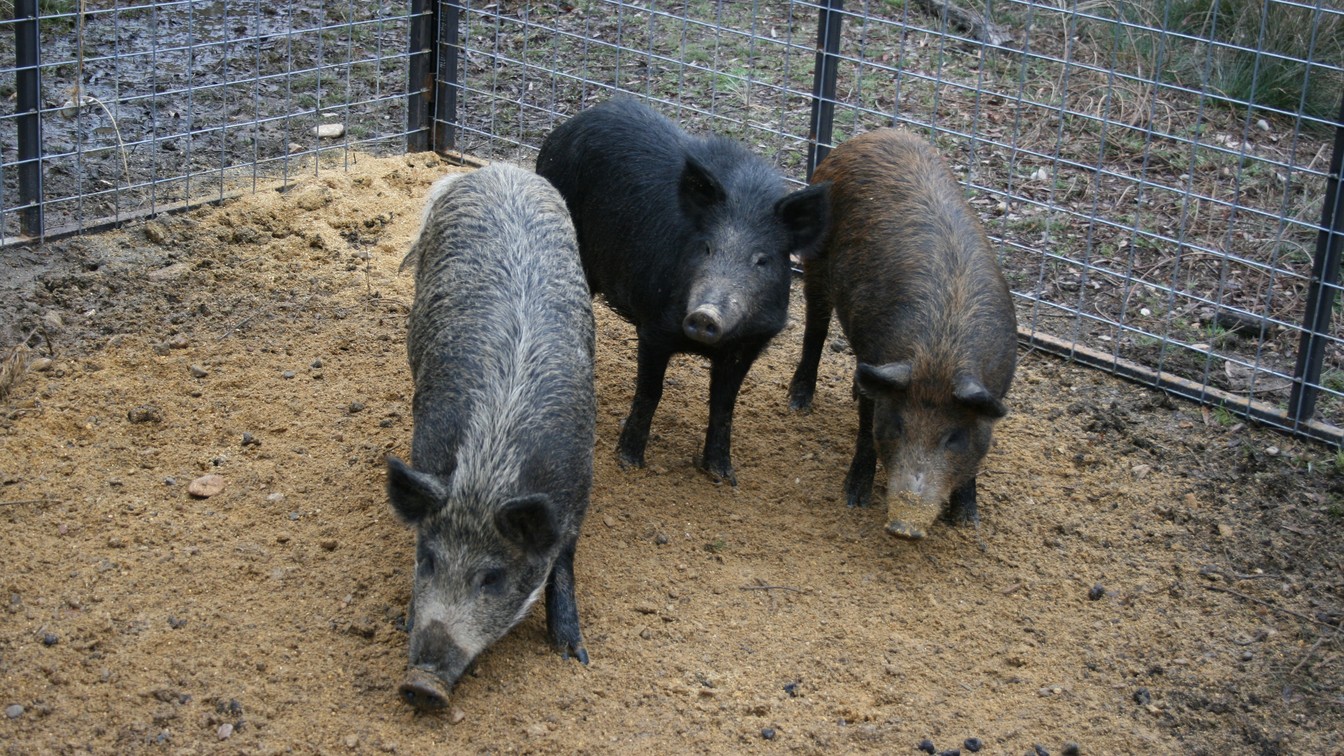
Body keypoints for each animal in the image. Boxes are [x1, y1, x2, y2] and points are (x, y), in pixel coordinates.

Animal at [385, 163, 596, 710]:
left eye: (493, 578)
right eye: (428, 560)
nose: (421, 685)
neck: (488, 471)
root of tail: (500, 169)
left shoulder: (577, 490)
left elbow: (563, 561)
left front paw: (574, 654)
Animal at [535, 98, 830, 485]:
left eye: (761, 260)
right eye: (706, 248)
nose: (705, 314)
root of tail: (563, 129)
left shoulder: (750, 342)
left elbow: (724, 404)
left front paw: (722, 475)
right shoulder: (655, 325)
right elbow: (650, 391)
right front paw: (629, 461)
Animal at [788, 128, 1017, 540]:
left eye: (953, 437)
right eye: (897, 425)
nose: (904, 528)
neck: (941, 354)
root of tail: (877, 132)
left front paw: (968, 521)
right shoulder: (876, 356)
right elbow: (866, 429)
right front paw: (854, 500)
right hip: (815, 261)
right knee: (815, 329)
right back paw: (798, 402)